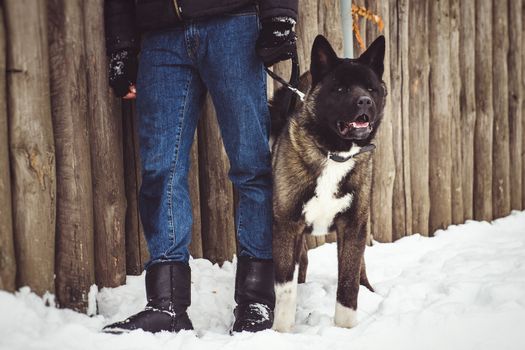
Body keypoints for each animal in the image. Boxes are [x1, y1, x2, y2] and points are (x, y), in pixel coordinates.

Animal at [268, 33, 386, 330]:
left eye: (371, 88)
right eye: (341, 89)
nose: (365, 101)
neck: (335, 154)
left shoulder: (353, 225)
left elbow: (348, 283)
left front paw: (345, 329)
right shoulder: (287, 226)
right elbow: (285, 289)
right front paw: (281, 331)